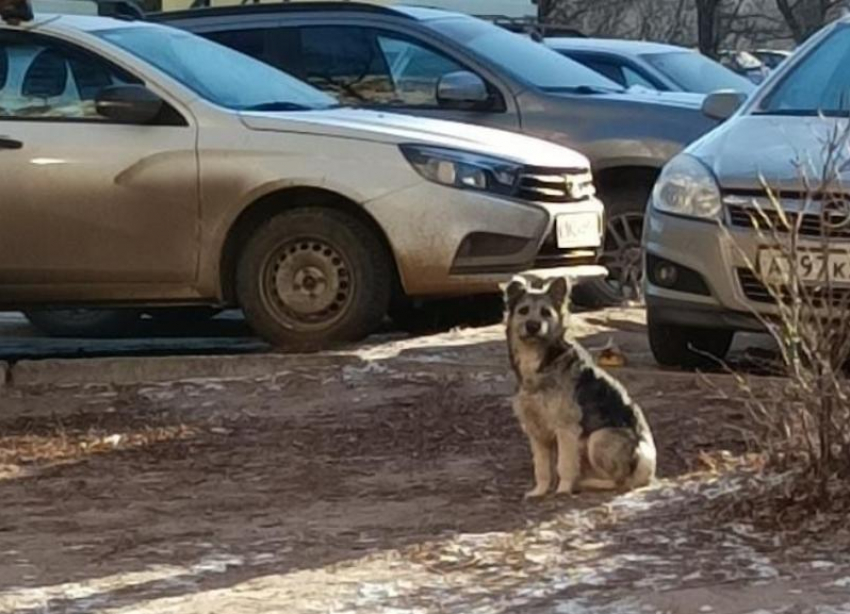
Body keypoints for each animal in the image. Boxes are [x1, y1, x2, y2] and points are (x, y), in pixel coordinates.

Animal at [504, 276, 656, 498]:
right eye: (523, 310)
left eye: (546, 312)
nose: (533, 326)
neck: (541, 362)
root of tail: (650, 471)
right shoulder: (536, 432)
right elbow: (541, 468)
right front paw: (539, 492)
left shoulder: (566, 429)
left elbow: (564, 465)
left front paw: (563, 490)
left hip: (599, 438)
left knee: (621, 482)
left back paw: (587, 483)